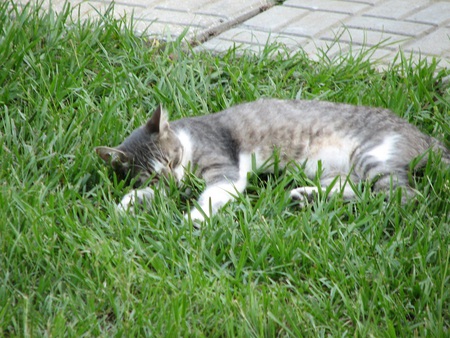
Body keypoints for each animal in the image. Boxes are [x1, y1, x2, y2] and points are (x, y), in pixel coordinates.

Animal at [96, 97, 448, 222]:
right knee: (354, 190)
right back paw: (305, 197)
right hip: (332, 171)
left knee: (401, 196)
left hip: (373, 156)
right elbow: (141, 193)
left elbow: (209, 196)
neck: (188, 138)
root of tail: (424, 135)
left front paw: (195, 217)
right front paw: (125, 205)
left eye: (172, 160)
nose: (174, 180)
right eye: (156, 174)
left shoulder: (225, 172)